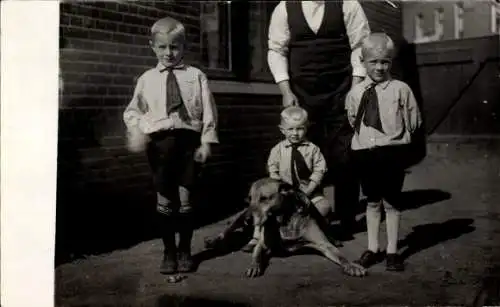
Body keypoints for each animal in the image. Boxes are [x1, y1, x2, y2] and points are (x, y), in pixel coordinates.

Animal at [204, 178, 368, 280]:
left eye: (264, 198)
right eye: (250, 199)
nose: (248, 220)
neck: (284, 219)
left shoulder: (323, 244)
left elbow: (341, 256)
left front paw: (352, 265)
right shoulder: (263, 244)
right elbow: (256, 255)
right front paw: (254, 266)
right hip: (240, 217)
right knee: (228, 229)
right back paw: (213, 240)